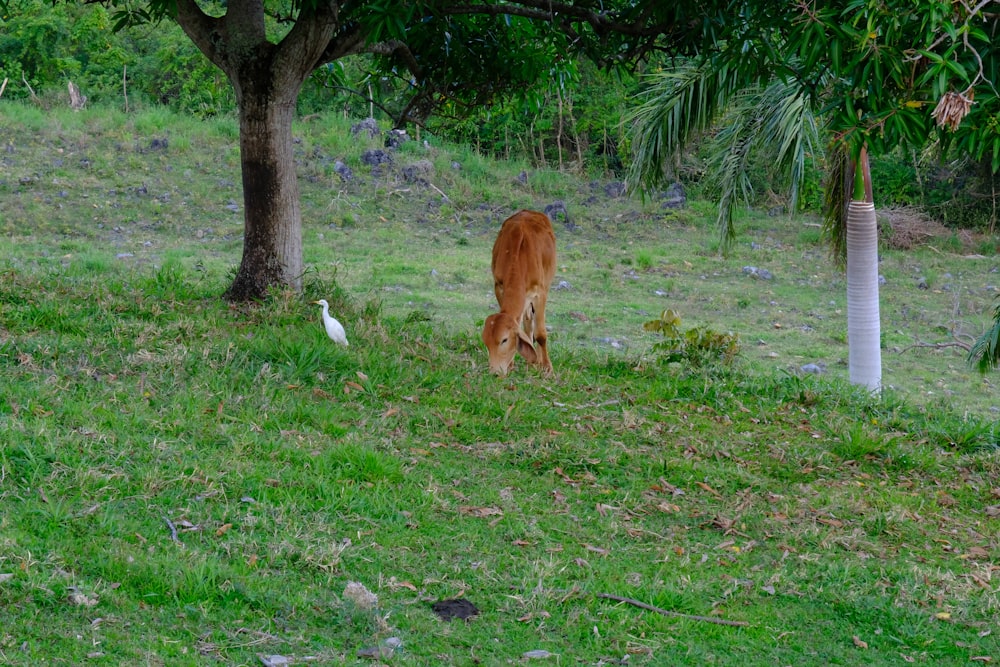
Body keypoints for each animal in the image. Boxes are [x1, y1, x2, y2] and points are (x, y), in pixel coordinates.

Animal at [482, 209, 560, 376]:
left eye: (504, 340)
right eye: (485, 341)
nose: (495, 372)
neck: (517, 255)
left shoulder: (540, 293)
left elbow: (541, 334)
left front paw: (547, 368)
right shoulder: (499, 286)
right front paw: (511, 364)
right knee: (527, 323)